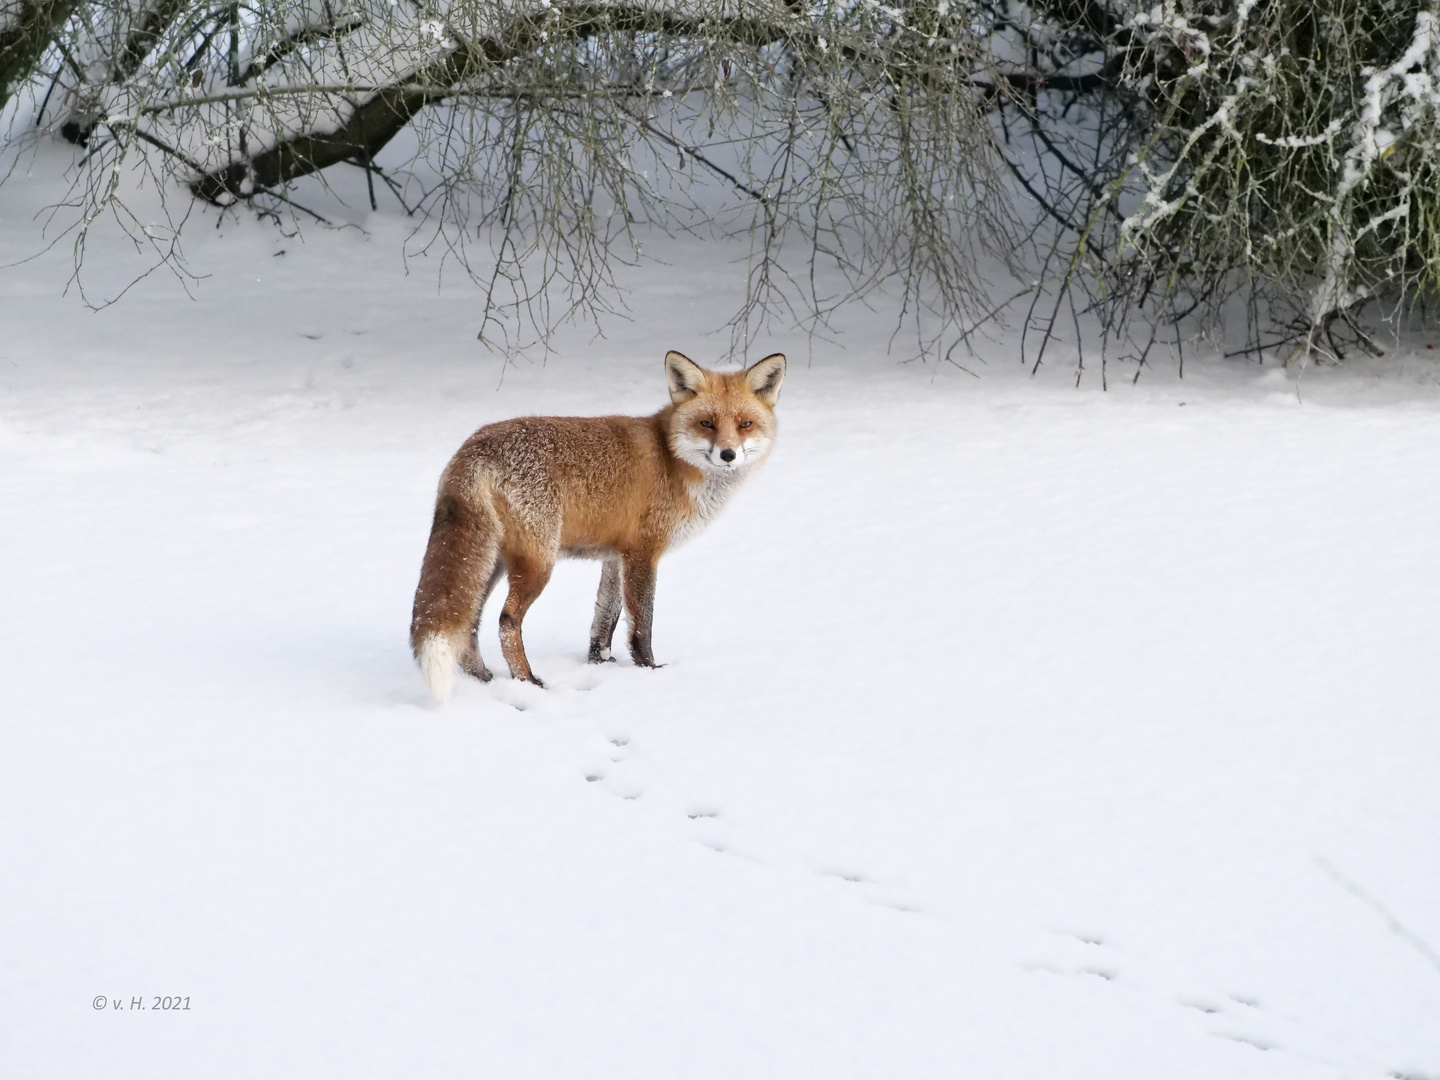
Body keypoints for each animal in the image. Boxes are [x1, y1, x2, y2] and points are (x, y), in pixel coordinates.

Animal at [406, 352, 789, 702]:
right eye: (707, 424)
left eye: (745, 424)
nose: (728, 455)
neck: (673, 460)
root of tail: (475, 446)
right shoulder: (643, 552)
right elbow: (642, 625)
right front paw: (649, 670)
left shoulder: (615, 557)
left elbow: (605, 619)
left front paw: (599, 661)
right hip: (537, 563)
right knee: (506, 621)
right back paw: (527, 681)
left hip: (492, 562)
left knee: (470, 621)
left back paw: (483, 678)